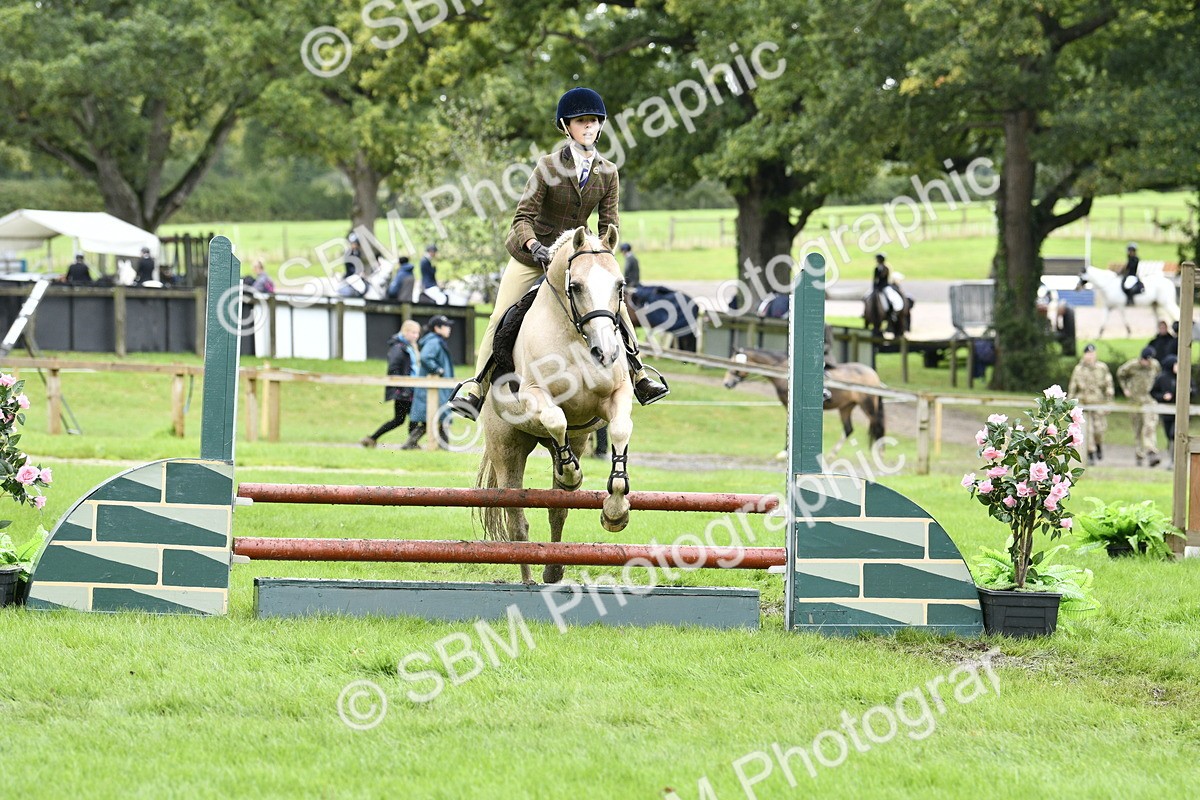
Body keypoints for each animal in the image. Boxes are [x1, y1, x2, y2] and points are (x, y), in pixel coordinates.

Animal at [475, 225, 633, 584]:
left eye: (619, 286)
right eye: (576, 287)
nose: (606, 353)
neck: (576, 338)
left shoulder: (616, 396)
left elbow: (620, 429)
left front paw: (615, 511)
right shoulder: (534, 395)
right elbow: (555, 417)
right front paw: (573, 475)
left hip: (575, 439)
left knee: (557, 509)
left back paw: (554, 568)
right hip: (507, 447)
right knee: (517, 519)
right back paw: (528, 578)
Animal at [722, 347, 886, 457]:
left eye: (735, 364)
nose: (726, 384)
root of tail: (874, 374)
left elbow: (787, 429)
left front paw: (784, 452)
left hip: (867, 405)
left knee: (876, 426)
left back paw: (879, 453)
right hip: (846, 407)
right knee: (848, 429)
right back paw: (832, 454)